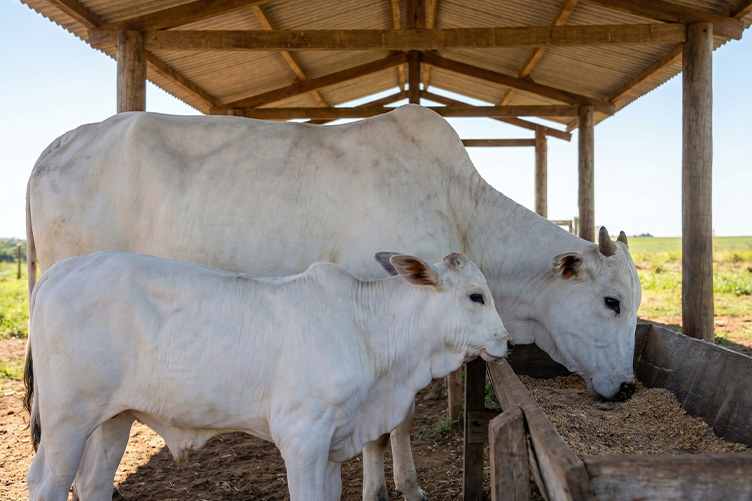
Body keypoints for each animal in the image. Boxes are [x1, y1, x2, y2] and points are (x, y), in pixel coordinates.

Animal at [24, 250, 511, 501]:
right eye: (475, 296)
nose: (506, 341)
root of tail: (60, 269)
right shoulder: (302, 438)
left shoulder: (334, 444)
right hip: (68, 418)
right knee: (48, 483)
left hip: (113, 416)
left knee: (92, 481)